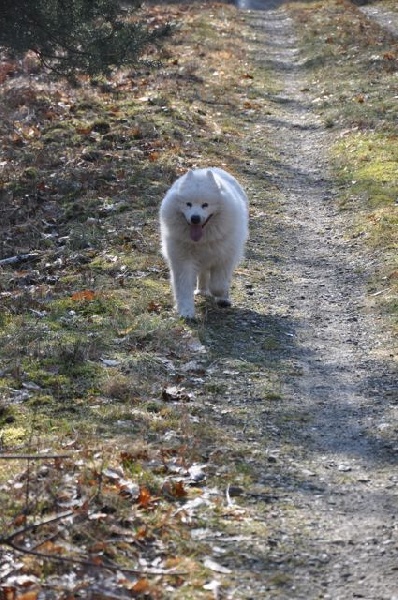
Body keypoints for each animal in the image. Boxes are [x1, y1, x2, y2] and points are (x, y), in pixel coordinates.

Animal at [159, 166, 247, 318]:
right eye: (188, 204)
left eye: (205, 205)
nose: (195, 218)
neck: (202, 241)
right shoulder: (183, 260)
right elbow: (183, 287)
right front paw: (186, 311)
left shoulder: (224, 258)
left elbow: (218, 284)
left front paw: (220, 295)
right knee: (203, 274)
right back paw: (201, 290)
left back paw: (222, 298)